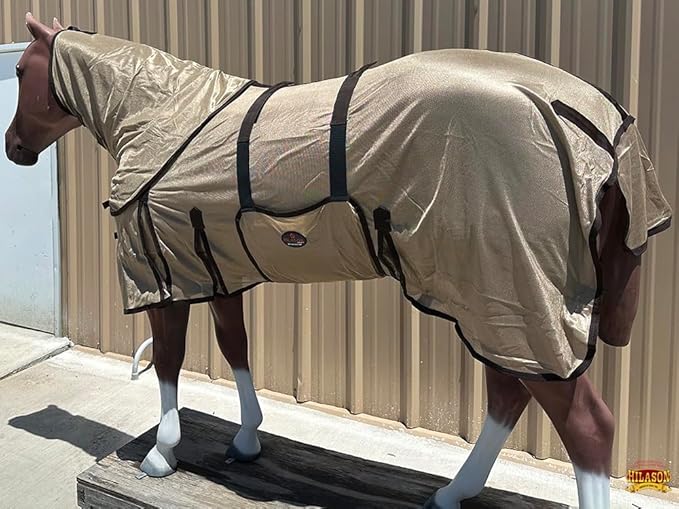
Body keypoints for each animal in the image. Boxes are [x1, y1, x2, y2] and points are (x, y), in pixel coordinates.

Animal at [5, 13, 671, 509]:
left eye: (18, 69)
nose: (14, 149)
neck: (158, 111)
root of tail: (582, 118)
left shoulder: (161, 276)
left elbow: (169, 362)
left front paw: (162, 452)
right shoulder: (216, 270)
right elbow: (235, 347)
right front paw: (246, 439)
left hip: (512, 303)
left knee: (586, 426)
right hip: (498, 309)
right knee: (508, 396)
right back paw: (453, 493)